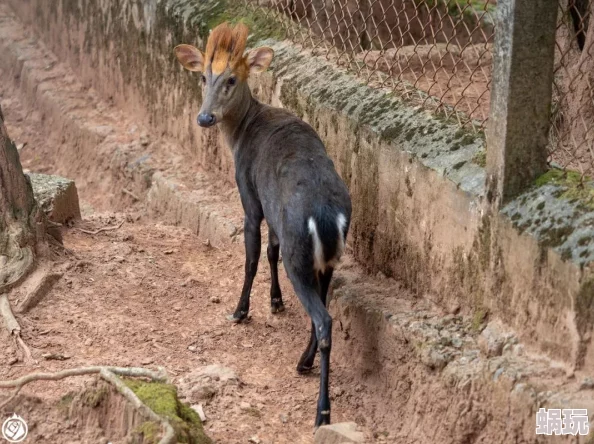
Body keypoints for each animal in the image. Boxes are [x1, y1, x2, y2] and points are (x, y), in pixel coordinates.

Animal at [175, 22, 352, 428]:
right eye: (203, 76)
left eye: (231, 78)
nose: (204, 118)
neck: (243, 131)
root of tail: (326, 214)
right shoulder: (275, 215)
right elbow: (270, 252)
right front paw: (275, 302)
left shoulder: (251, 198)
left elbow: (252, 257)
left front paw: (240, 311)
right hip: (325, 258)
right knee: (323, 305)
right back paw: (303, 362)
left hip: (299, 251)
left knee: (324, 319)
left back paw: (322, 412)